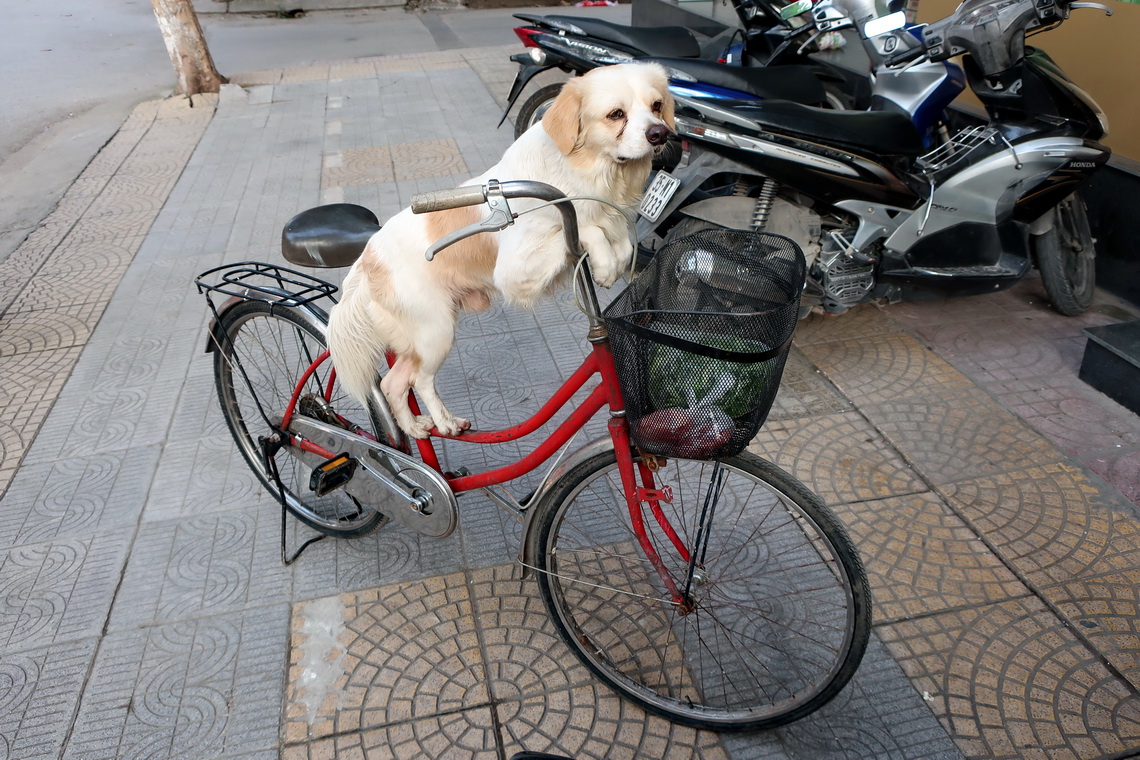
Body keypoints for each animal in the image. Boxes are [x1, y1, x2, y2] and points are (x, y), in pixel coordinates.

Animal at [326, 63, 670, 439]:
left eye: (656, 106)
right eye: (615, 114)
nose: (660, 134)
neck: (590, 174)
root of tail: (366, 257)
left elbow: (622, 238)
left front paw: (617, 258)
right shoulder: (516, 270)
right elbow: (585, 228)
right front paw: (605, 263)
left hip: (420, 336)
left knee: (393, 383)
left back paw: (416, 427)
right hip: (436, 331)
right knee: (421, 381)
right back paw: (445, 422)